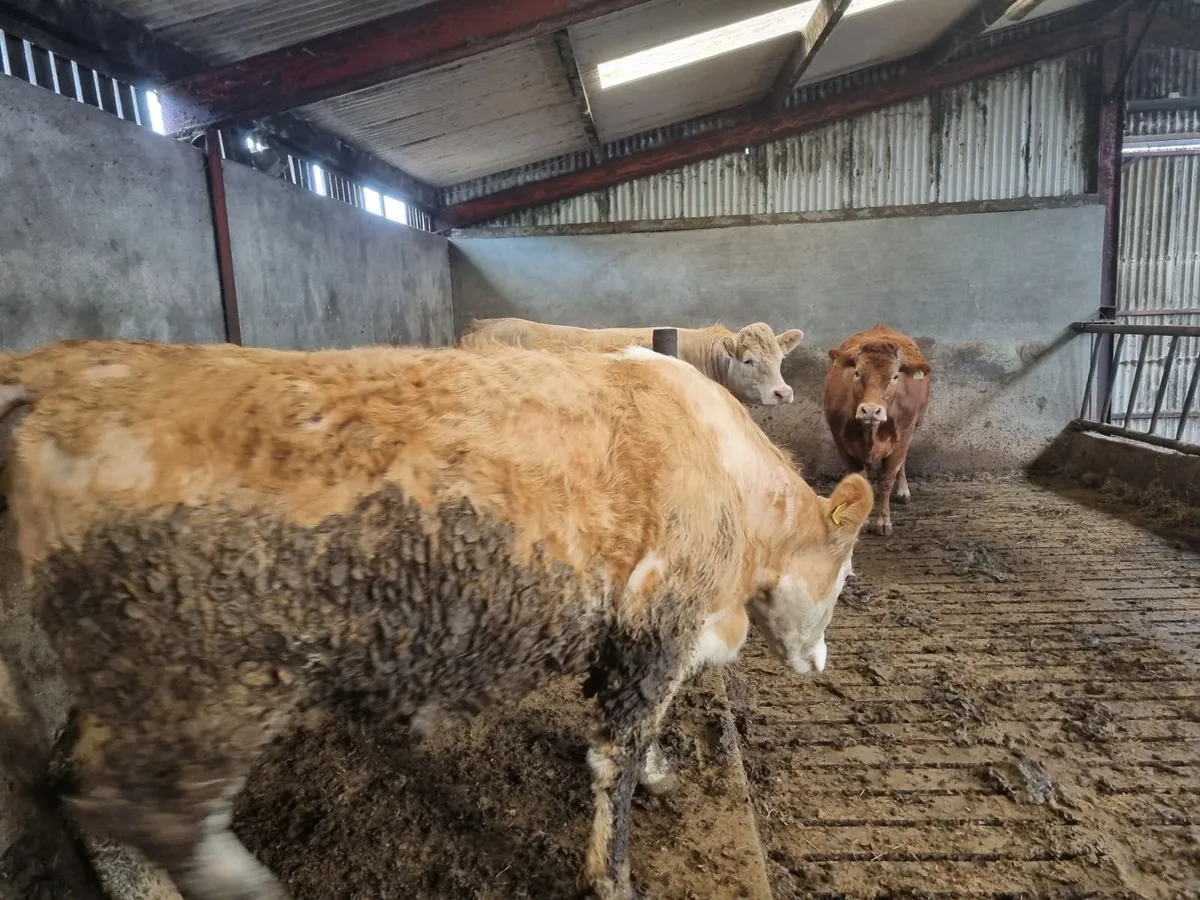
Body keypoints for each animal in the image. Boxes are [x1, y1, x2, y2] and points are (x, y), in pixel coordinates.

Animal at [0, 338, 872, 900]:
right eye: (846, 572)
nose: (821, 663)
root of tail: (63, 365)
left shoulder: (628, 645)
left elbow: (633, 738)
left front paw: (661, 770)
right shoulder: (660, 627)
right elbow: (615, 761)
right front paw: (614, 874)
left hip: (129, 681)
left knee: (84, 789)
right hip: (204, 686)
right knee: (146, 812)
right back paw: (250, 888)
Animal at [822, 323, 931, 536]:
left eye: (895, 376)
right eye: (857, 373)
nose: (871, 410)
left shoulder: (903, 436)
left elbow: (887, 478)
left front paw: (883, 521)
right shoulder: (840, 438)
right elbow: (859, 478)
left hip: (914, 425)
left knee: (902, 463)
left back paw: (903, 490)